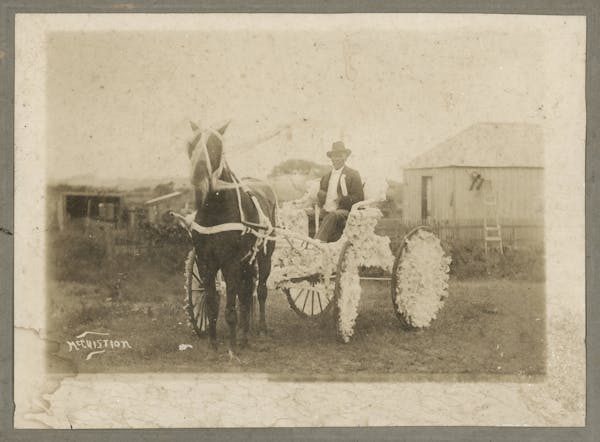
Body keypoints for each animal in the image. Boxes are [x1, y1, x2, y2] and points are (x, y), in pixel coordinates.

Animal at [186, 121, 278, 356]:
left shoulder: (231, 263)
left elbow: (231, 308)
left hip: (263, 258)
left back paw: (259, 330)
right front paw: (213, 344)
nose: (198, 179)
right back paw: (245, 335)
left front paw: (232, 348)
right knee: (246, 295)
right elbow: (212, 304)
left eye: (216, 146)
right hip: (247, 262)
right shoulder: (206, 262)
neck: (215, 211)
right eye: (191, 145)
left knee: (260, 291)